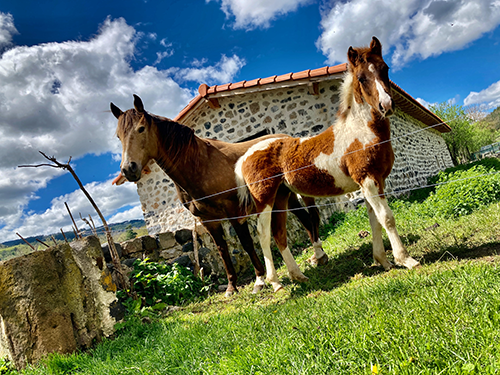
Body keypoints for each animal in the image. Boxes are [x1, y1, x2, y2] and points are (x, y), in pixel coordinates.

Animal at [110, 95, 328, 298]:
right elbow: (222, 250)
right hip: (284, 198)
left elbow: (247, 243)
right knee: (306, 220)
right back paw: (317, 258)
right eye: (119, 137)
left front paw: (259, 280)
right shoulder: (208, 220)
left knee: (310, 218)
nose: (128, 169)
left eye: (141, 128)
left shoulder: (234, 213)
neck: (200, 166)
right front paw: (232, 287)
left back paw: (318, 256)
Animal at [234, 36, 418, 292]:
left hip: (281, 196)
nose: (387, 106)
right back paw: (276, 282)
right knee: (263, 234)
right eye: (362, 78)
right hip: (264, 199)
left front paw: (383, 260)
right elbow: (387, 218)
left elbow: (374, 221)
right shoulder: (369, 180)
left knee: (279, 234)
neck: (361, 131)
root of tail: (245, 155)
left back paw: (298, 275)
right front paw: (405, 259)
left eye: (385, 69)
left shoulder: (371, 182)